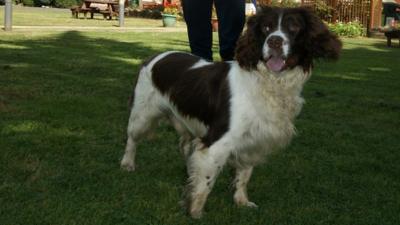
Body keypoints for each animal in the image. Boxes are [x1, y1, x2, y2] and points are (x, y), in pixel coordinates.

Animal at [119, 6, 340, 218]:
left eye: (293, 27)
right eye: (266, 28)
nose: (275, 41)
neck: (268, 81)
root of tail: (153, 57)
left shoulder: (252, 140)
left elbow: (244, 175)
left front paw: (241, 201)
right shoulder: (218, 142)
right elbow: (207, 182)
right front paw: (195, 211)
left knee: (184, 145)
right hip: (141, 115)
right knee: (131, 139)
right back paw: (127, 164)